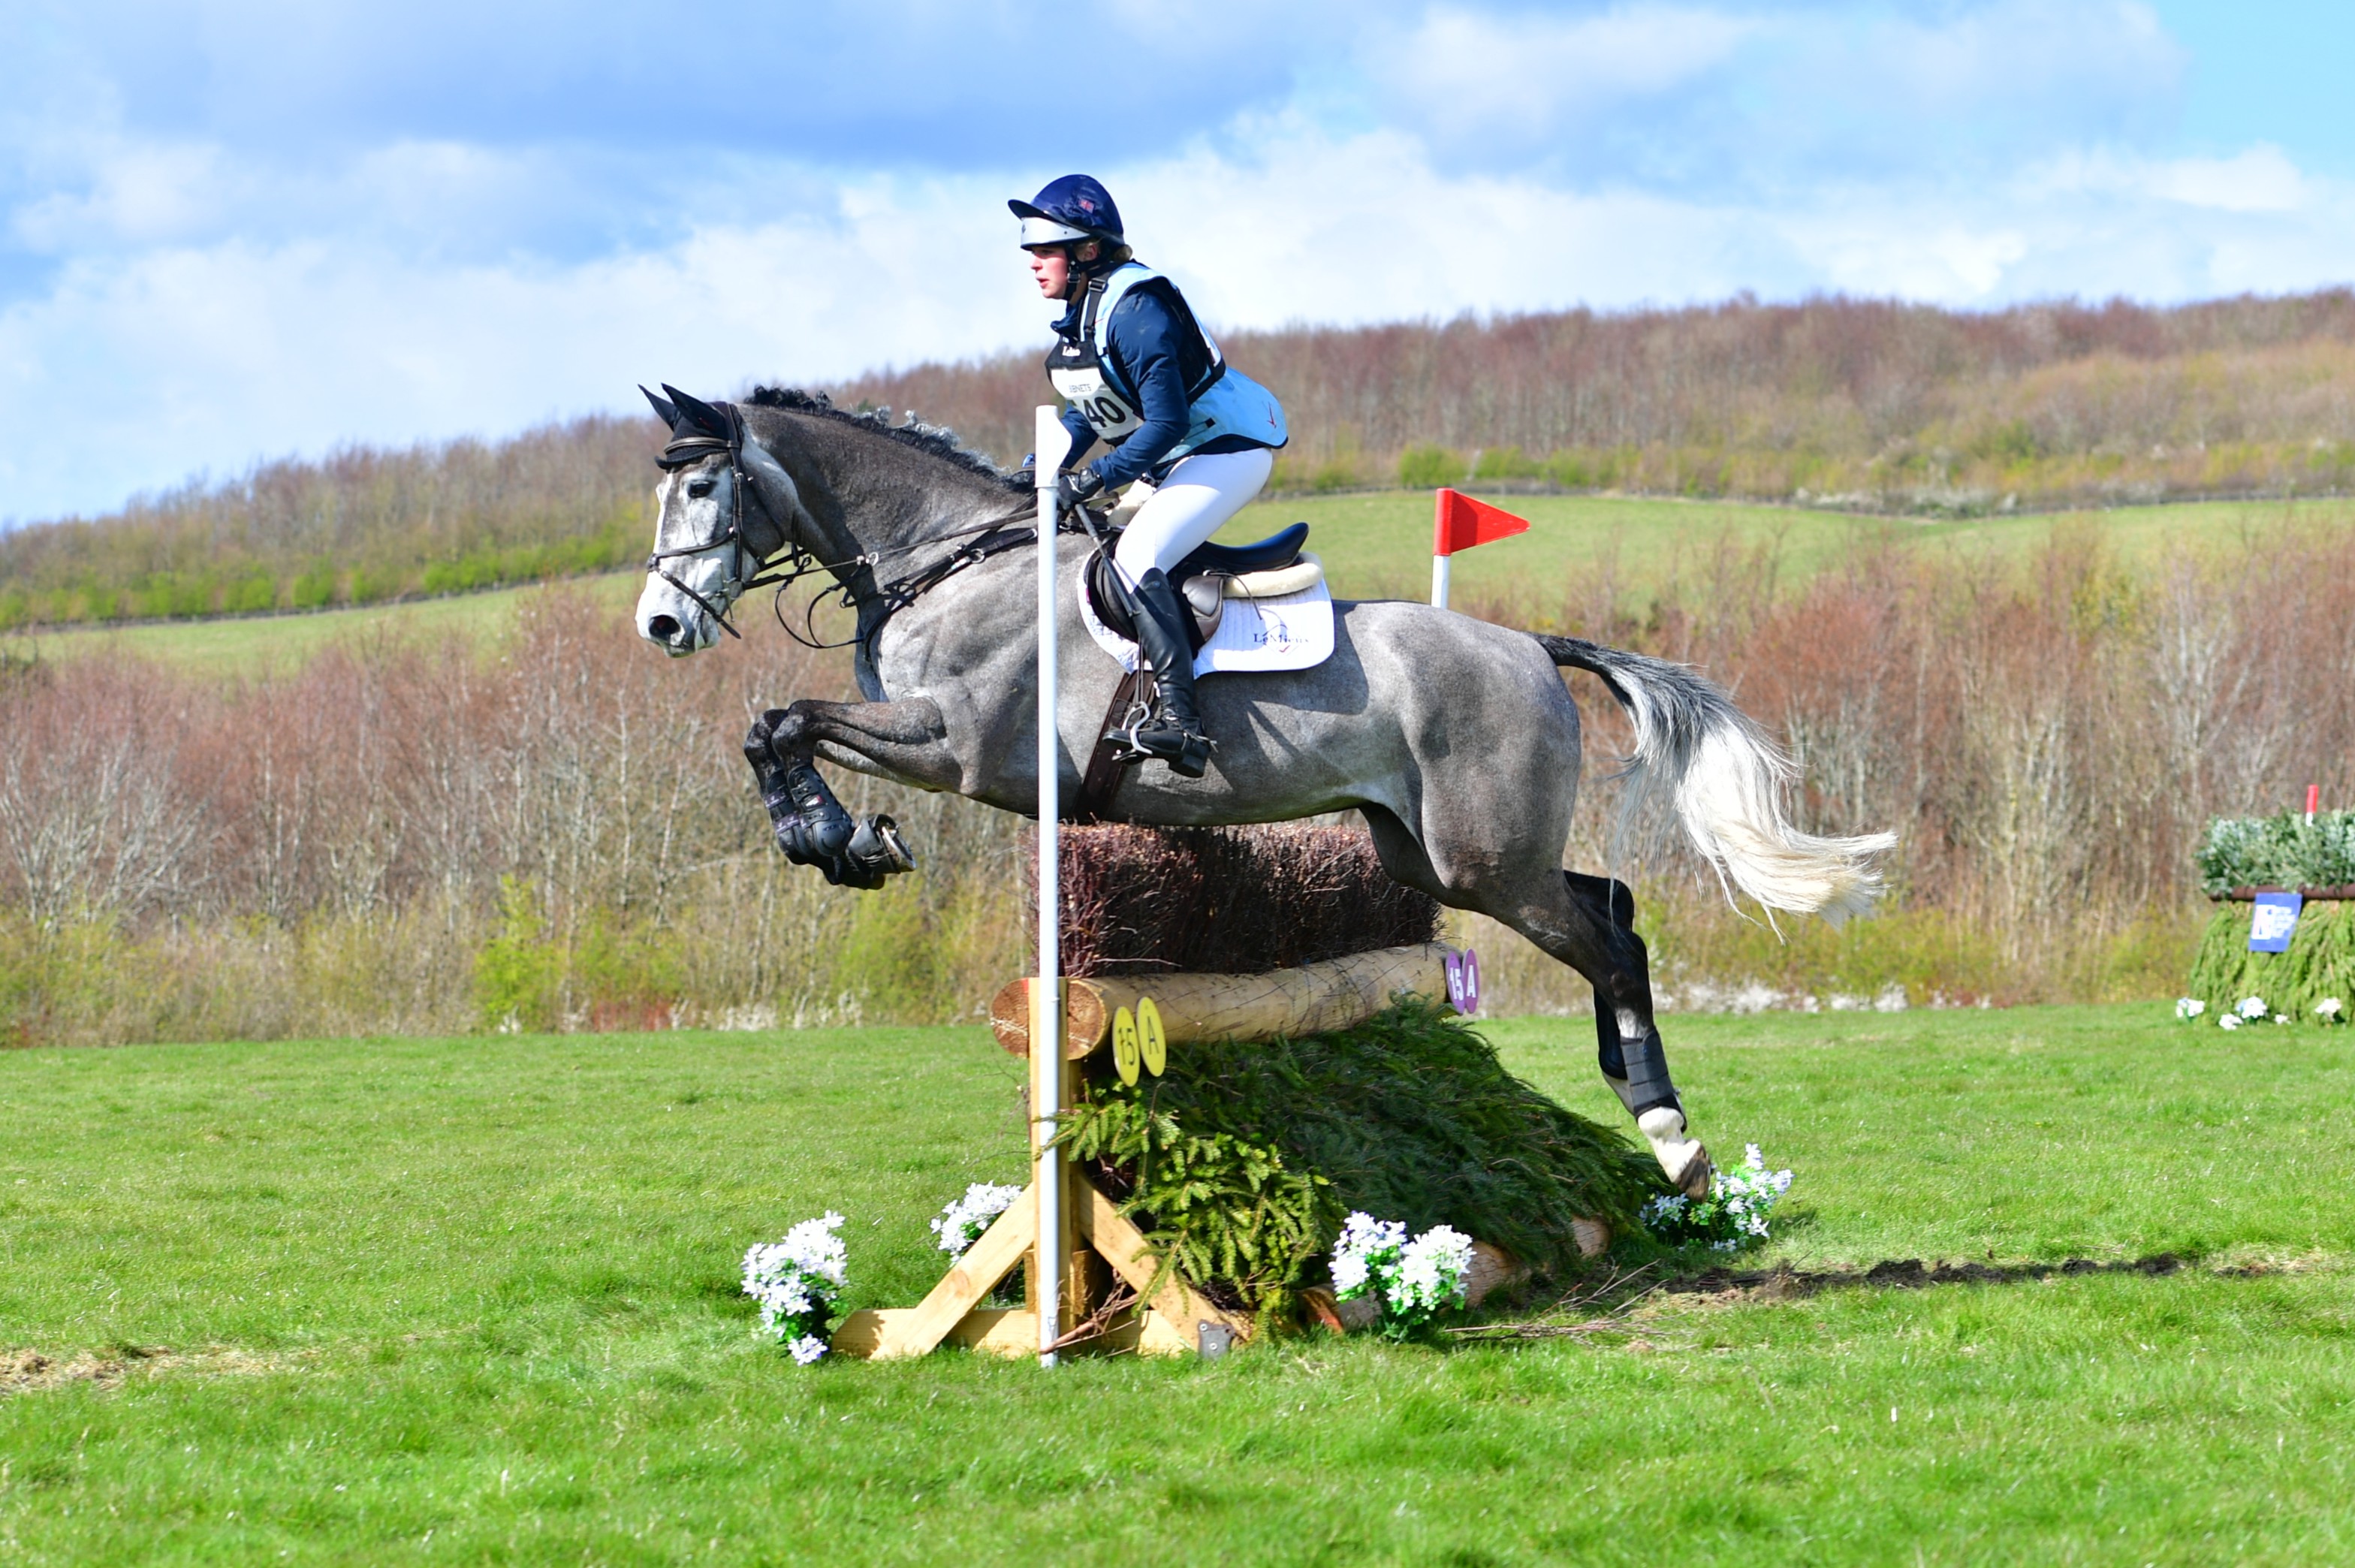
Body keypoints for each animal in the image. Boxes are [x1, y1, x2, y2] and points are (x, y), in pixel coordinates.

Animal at [632, 383, 1894, 1197]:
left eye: (704, 488)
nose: (661, 626)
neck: (948, 561)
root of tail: (1531, 645)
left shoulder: (961, 749)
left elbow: (784, 721)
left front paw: (834, 837)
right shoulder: (931, 743)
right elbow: (773, 728)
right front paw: (841, 839)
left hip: (1484, 859)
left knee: (1614, 943)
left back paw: (1672, 1135)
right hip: (1435, 853)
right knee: (1613, 907)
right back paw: (1642, 1104)